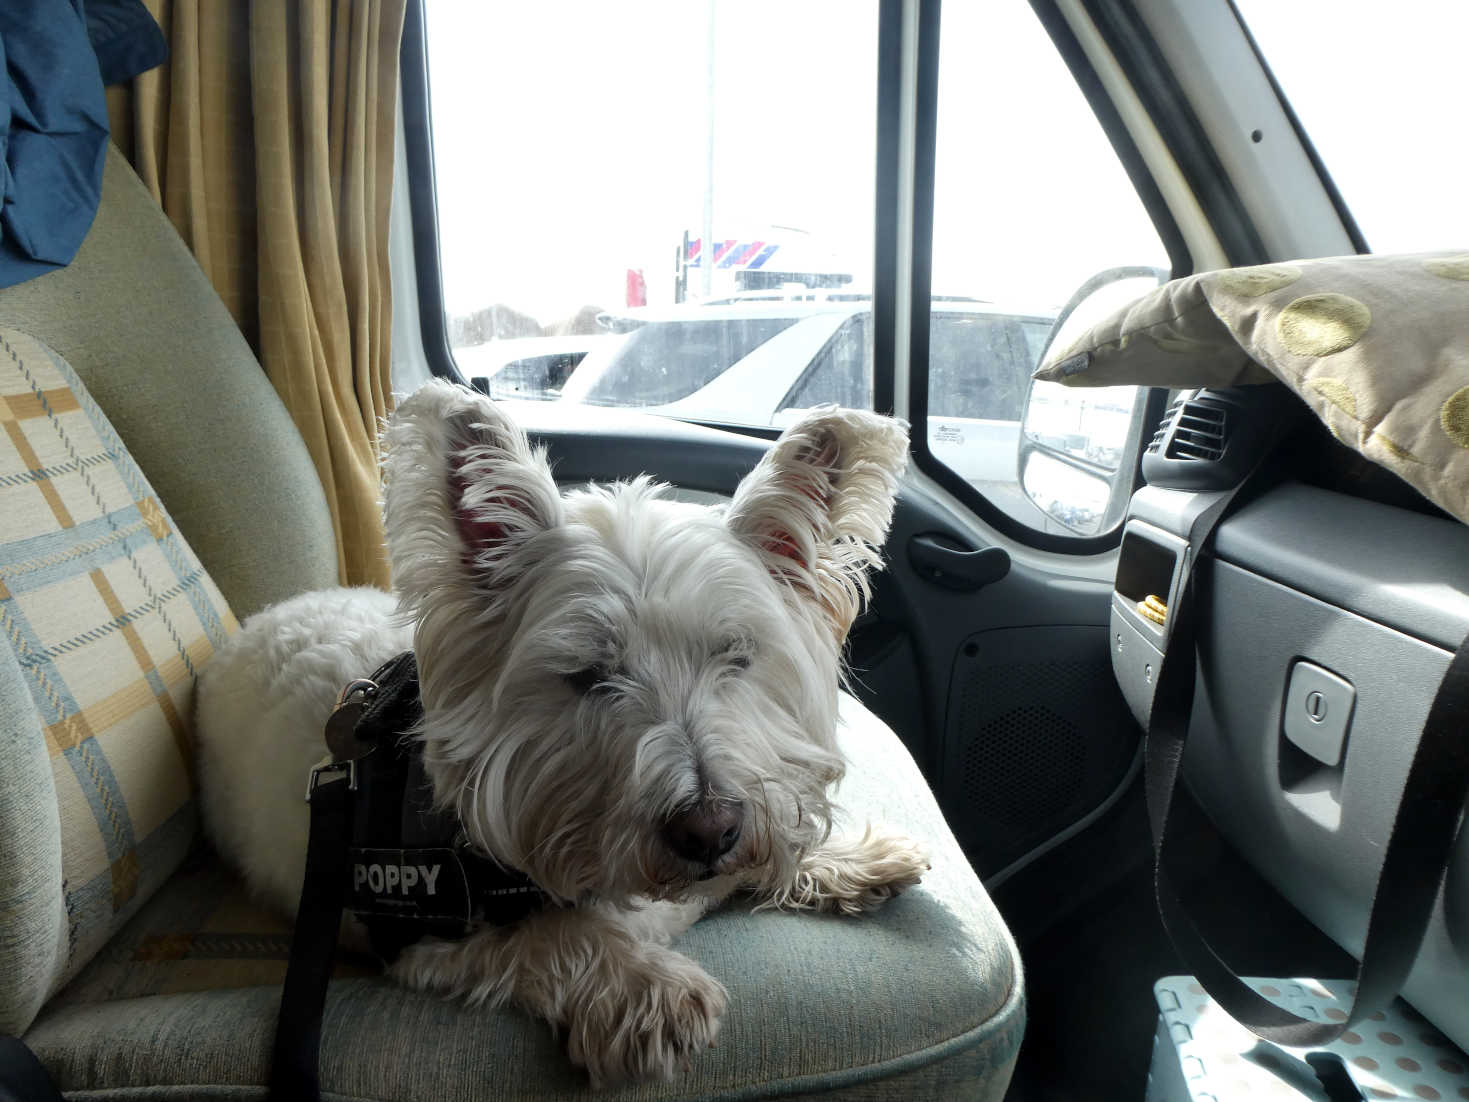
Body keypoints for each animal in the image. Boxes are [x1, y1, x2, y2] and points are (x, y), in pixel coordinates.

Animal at [195, 379, 928, 1087]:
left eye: (737, 657)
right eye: (587, 675)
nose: (709, 830)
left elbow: (775, 839)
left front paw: (850, 857)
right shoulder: (423, 938)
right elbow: (556, 933)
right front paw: (648, 988)